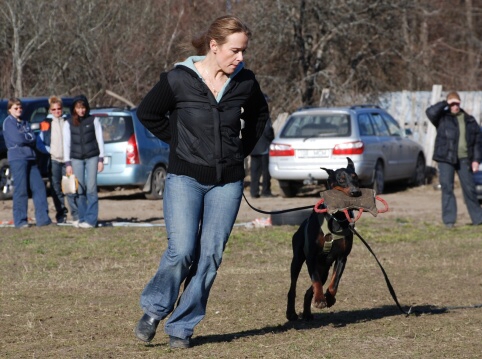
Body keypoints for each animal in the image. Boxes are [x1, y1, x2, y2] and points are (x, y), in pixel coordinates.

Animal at [286, 158, 362, 320]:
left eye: (356, 177)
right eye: (341, 179)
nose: (356, 192)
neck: (337, 217)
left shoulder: (342, 257)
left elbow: (335, 282)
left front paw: (330, 298)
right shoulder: (311, 257)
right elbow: (316, 281)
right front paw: (321, 299)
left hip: (324, 270)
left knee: (310, 290)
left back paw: (307, 314)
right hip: (297, 260)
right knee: (293, 287)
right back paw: (291, 313)